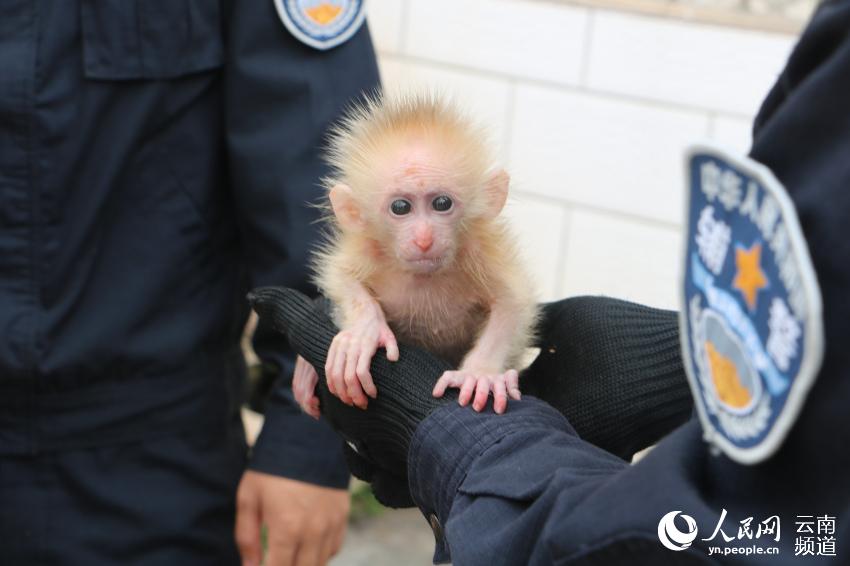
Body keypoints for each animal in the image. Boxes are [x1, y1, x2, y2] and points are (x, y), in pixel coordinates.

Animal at [294, 93, 536, 420]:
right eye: (401, 207)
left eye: (442, 203)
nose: (424, 239)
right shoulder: (369, 248)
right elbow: (341, 275)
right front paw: (365, 331)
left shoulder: (479, 250)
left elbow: (512, 301)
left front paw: (480, 372)